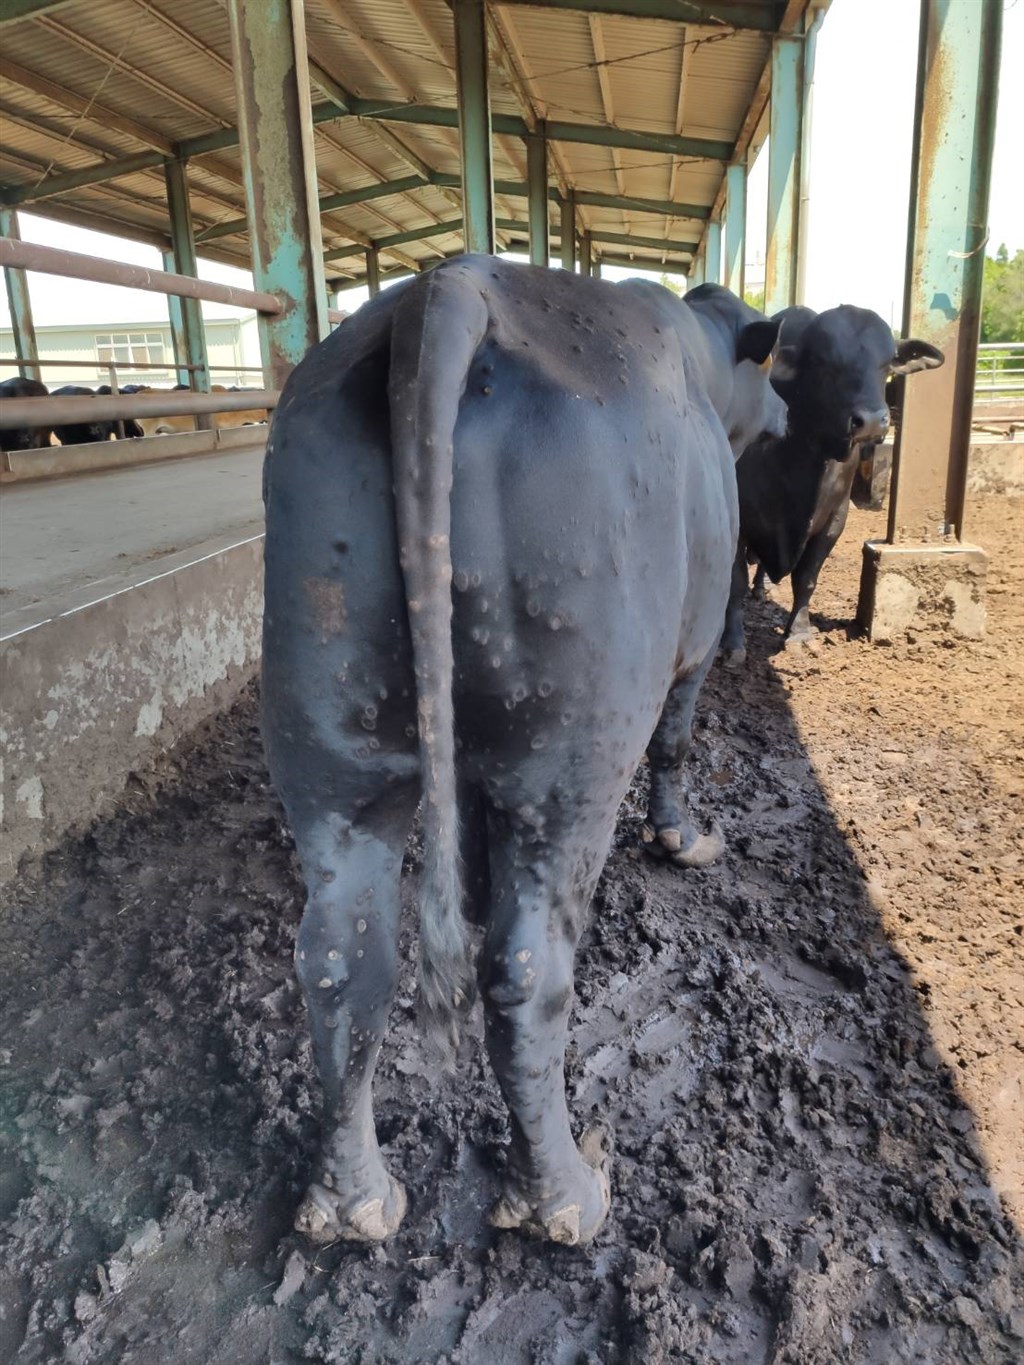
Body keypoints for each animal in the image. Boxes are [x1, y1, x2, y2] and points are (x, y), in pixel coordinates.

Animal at [264, 256, 786, 1250]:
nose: (785, 416)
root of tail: (451, 288)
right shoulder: (696, 638)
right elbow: (679, 739)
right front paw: (683, 838)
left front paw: (470, 885)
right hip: (573, 757)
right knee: (525, 968)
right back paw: (565, 1195)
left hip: (330, 736)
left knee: (343, 959)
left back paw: (352, 1201)